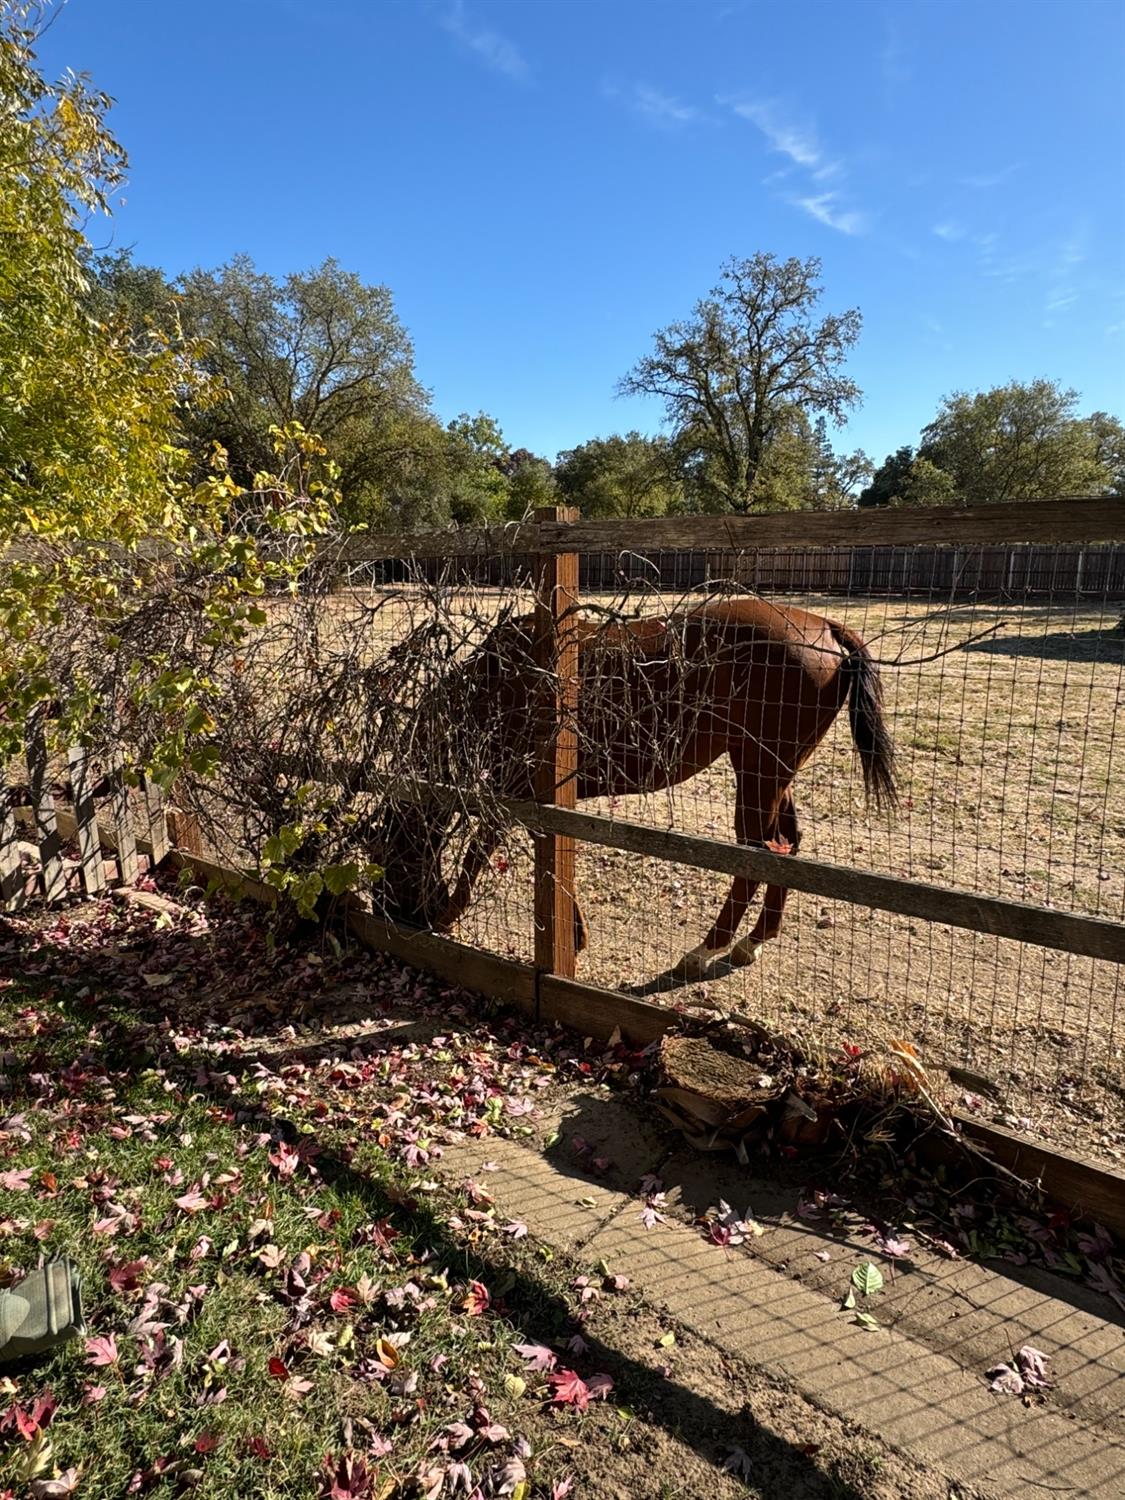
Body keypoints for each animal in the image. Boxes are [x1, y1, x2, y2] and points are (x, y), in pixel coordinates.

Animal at [379, 597, 900, 984]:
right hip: (773, 774)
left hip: (759, 773)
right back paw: (753, 940)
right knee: (787, 847)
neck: (498, 682)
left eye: (395, 852)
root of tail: (826, 627)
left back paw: (704, 951)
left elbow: (479, 856)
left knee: (758, 855)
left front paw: (450, 915)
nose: (402, 913)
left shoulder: (516, 793)